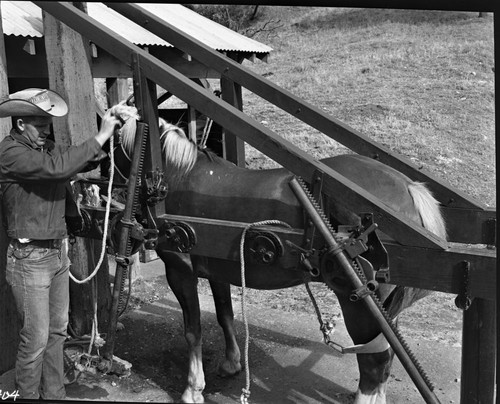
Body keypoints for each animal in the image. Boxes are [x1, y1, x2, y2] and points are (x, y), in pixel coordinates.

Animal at [115, 117, 448, 404]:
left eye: (110, 148)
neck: (179, 178)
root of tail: (407, 186)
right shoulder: (217, 270)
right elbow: (225, 315)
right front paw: (232, 363)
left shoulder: (179, 269)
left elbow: (192, 330)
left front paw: (193, 389)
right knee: (386, 358)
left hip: (360, 304)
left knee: (375, 363)